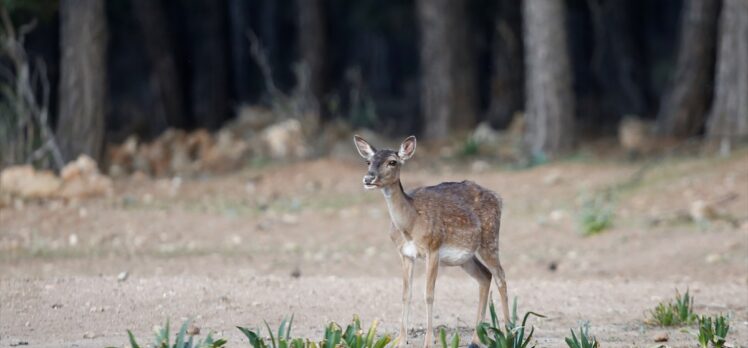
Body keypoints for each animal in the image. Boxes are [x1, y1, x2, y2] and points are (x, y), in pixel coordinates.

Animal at [354, 135, 512, 348]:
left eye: (392, 162)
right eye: (368, 161)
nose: (368, 179)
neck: (410, 225)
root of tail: (499, 198)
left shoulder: (433, 248)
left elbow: (429, 295)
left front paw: (428, 341)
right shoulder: (405, 254)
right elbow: (406, 294)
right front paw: (400, 340)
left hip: (490, 238)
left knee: (500, 276)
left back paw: (509, 332)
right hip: (465, 257)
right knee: (485, 276)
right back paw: (475, 339)